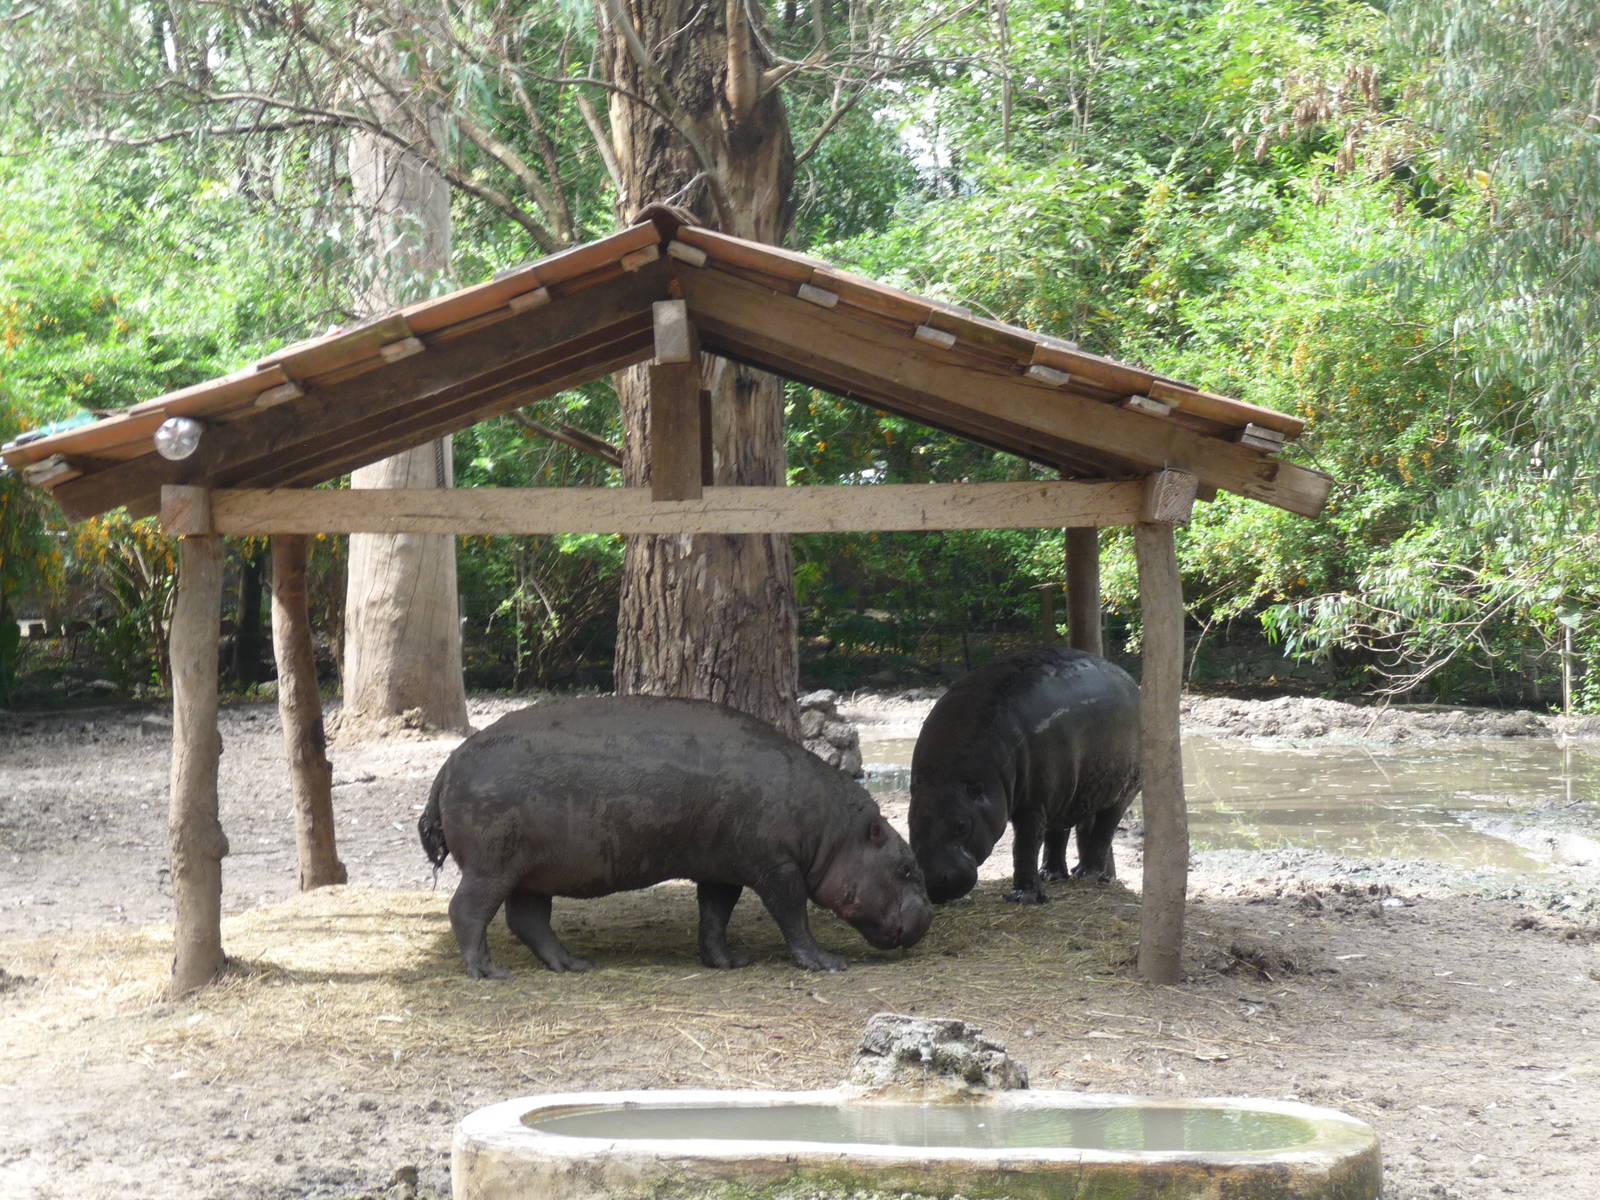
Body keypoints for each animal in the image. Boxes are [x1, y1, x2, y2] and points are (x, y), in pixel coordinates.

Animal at [419, 695, 932, 977]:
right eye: (908, 867)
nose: (927, 916)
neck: (833, 831)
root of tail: (448, 763)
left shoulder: (723, 869)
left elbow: (715, 916)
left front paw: (729, 962)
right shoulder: (778, 868)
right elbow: (793, 917)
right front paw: (827, 963)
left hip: (532, 872)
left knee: (528, 920)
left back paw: (573, 965)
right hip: (493, 867)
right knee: (467, 911)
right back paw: (489, 971)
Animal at [909, 647, 1141, 905]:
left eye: (961, 826)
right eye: (911, 824)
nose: (932, 884)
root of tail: (1129, 680)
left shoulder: (1032, 802)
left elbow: (1024, 846)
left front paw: (1022, 897)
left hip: (1122, 790)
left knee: (1105, 828)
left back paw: (1088, 875)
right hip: (1065, 791)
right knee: (1058, 831)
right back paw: (1051, 875)